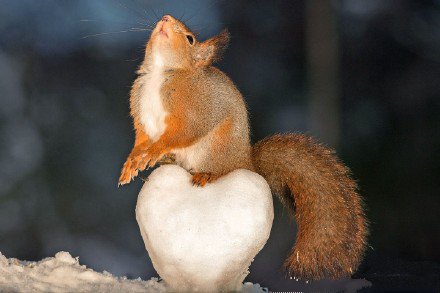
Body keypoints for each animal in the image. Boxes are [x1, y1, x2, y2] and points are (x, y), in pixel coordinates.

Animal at [117, 14, 368, 280]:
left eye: (190, 38)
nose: (165, 18)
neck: (160, 72)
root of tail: (246, 162)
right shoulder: (141, 114)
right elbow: (141, 140)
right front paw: (132, 163)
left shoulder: (195, 110)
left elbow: (183, 133)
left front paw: (153, 152)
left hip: (214, 150)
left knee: (218, 169)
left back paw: (205, 174)